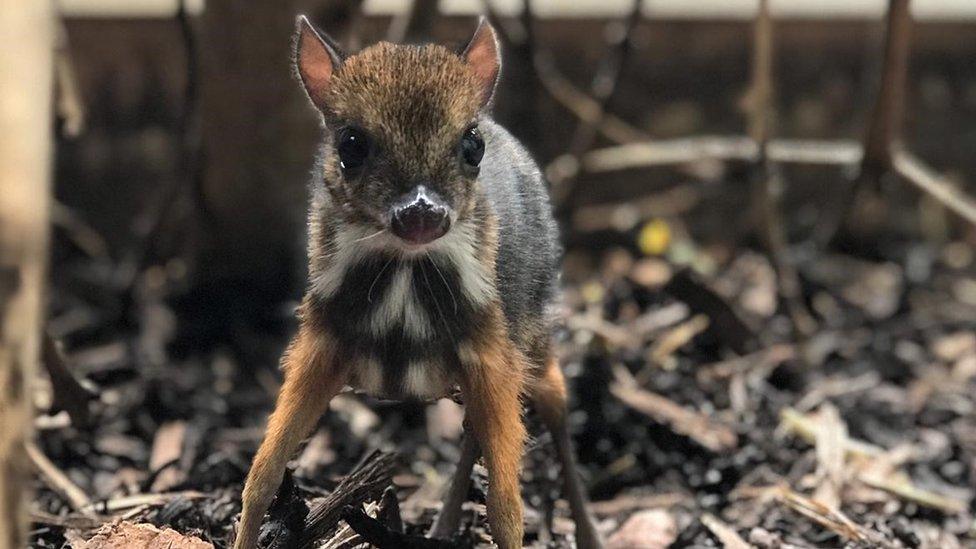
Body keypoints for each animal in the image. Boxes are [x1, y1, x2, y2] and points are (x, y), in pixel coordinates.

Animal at [234, 16, 604, 548]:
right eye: (350, 145)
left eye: (471, 145)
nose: (421, 213)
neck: (404, 278)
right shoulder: (319, 341)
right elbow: (262, 474)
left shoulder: (491, 347)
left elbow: (506, 508)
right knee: (475, 427)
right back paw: (443, 526)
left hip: (531, 329)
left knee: (554, 396)